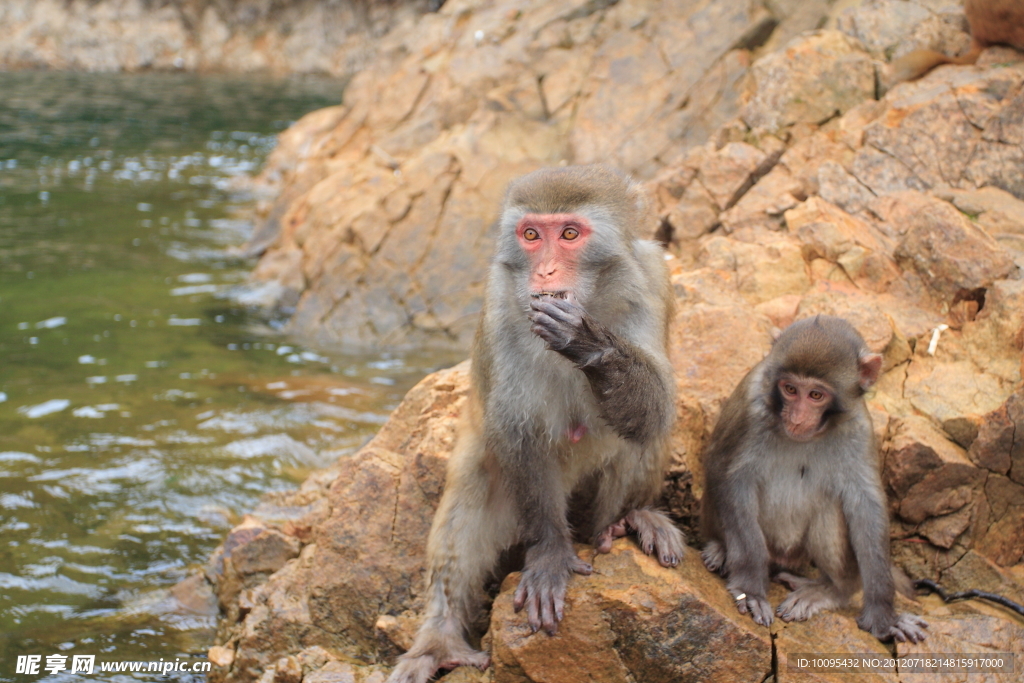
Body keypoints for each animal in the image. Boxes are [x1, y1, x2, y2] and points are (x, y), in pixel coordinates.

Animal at [387, 165, 684, 683]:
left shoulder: (651, 278)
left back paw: (628, 520)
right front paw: (549, 555)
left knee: (636, 437)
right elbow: (517, 431)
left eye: (568, 234)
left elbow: (657, 407)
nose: (544, 272)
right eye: (530, 236)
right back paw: (440, 638)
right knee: (469, 497)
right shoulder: (501, 306)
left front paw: (588, 343)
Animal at [704, 317, 929, 643]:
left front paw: (884, 615)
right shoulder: (752, 410)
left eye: (816, 395)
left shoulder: (857, 427)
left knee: (831, 508)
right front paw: (750, 588)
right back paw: (721, 549)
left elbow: (866, 506)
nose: (797, 418)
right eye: (789, 389)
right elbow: (732, 479)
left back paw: (832, 589)